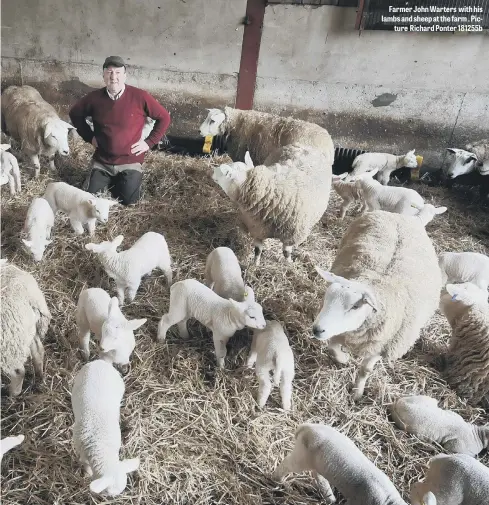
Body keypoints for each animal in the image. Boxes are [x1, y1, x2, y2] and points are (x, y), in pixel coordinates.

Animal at [0, 262, 50, 396]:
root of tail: (31, 298)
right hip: (26, 332)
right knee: (38, 351)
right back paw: (40, 376)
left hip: (9, 346)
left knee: (19, 372)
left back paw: (11, 393)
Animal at [70, 358, 139, 496]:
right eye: (108, 493)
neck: (101, 446)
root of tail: (103, 361)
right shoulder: (81, 452)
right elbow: (84, 464)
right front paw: (87, 473)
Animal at [272, 422, 406, 504]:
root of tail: (306, 427)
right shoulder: (357, 501)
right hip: (301, 456)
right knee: (287, 464)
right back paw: (278, 479)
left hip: (317, 463)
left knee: (318, 476)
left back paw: (329, 497)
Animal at [312, 209, 442, 398]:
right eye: (327, 297)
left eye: (355, 306)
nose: (317, 329)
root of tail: (408, 217)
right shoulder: (339, 332)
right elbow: (333, 349)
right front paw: (344, 359)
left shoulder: (381, 345)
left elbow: (365, 370)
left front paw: (357, 394)